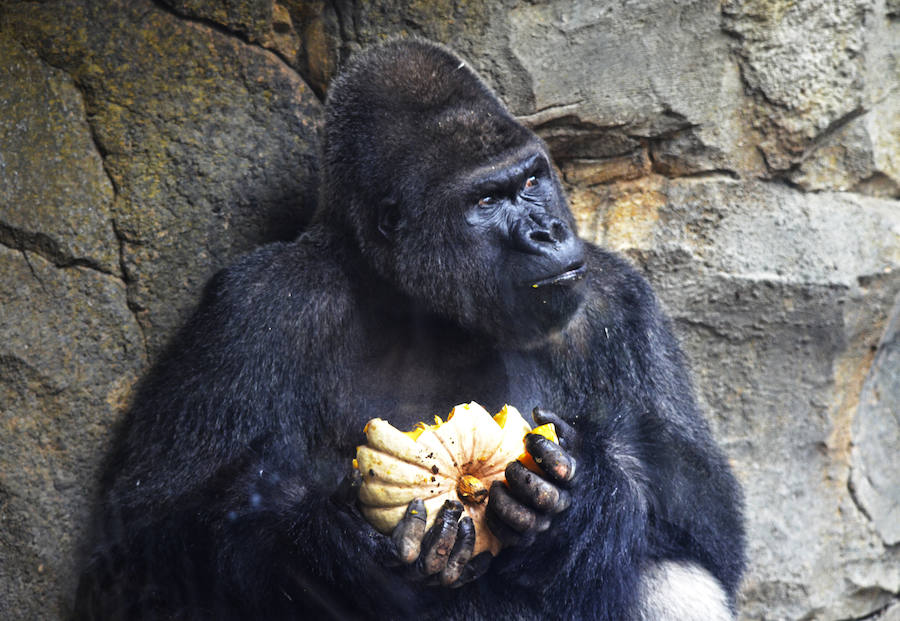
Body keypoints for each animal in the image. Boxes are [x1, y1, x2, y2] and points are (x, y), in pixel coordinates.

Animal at [74, 40, 744, 620]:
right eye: (484, 201)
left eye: (532, 180)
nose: (547, 233)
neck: (423, 308)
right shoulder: (257, 305)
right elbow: (145, 530)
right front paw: (321, 546)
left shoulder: (615, 301)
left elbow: (711, 526)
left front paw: (588, 495)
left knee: (672, 570)